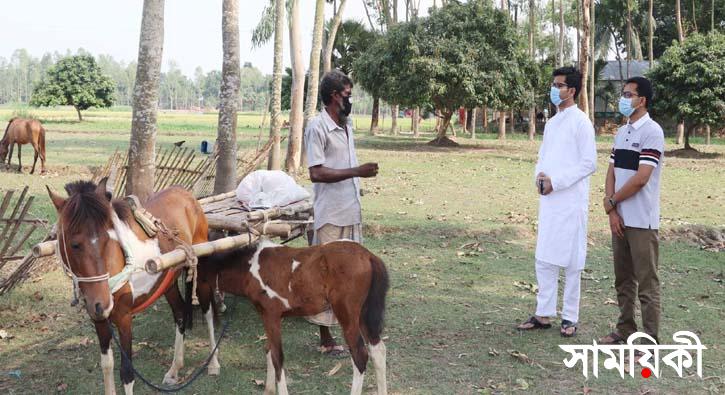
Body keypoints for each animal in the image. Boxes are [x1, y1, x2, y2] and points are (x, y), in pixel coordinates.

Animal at [46, 180, 218, 395]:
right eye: (74, 244)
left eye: (107, 239)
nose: (102, 304)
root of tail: (188, 196)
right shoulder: (99, 320)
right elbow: (107, 366)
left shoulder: (124, 318)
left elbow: (127, 374)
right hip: (167, 281)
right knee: (180, 313)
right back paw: (174, 369)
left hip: (201, 269)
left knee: (208, 311)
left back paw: (214, 364)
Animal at [189, 238, 388, 395]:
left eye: (194, 282)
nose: (200, 306)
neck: (249, 268)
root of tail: (369, 256)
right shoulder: (267, 316)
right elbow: (269, 350)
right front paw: (268, 390)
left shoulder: (271, 315)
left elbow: (277, 357)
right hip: (363, 314)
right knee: (378, 350)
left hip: (346, 314)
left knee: (360, 355)